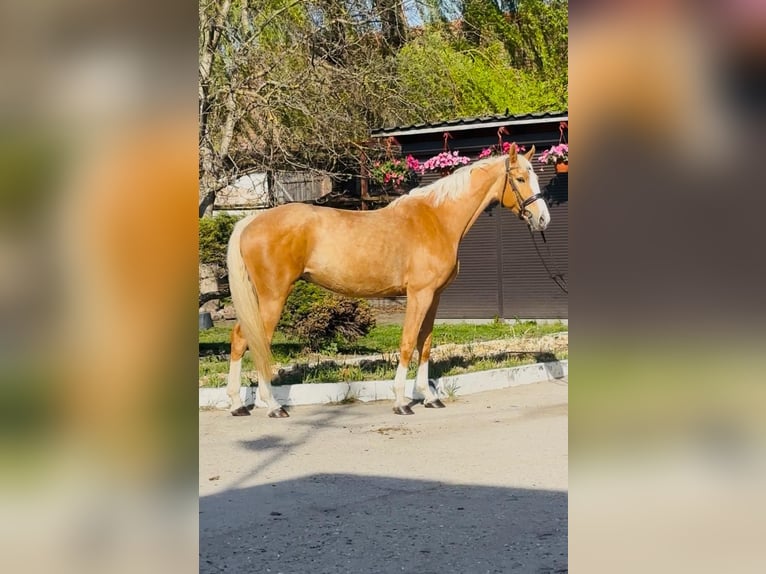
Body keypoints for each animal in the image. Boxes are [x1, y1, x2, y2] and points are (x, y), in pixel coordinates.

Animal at [225, 144, 549, 417]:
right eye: (520, 178)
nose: (543, 219)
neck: (437, 219)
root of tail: (250, 221)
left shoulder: (434, 296)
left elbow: (425, 344)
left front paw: (429, 397)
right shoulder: (419, 294)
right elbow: (407, 342)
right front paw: (401, 401)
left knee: (240, 338)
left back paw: (238, 404)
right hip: (273, 296)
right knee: (256, 342)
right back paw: (272, 405)